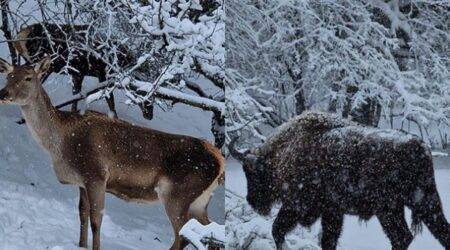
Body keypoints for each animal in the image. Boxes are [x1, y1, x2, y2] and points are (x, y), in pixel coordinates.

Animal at [0, 56, 224, 250]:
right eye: (8, 76)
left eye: (28, 78)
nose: (4, 93)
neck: (59, 144)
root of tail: (219, 160)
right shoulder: (82, 181)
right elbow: (82, 214)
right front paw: (81, 245)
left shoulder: (96, 174)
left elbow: (96, 220)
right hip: (199, 201)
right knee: (209, 232)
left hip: (177, 194)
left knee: (183, 235)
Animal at [230, 112, 450, 250]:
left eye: (251, 172)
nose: (252, 200)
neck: (283, 152)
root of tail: (418, 145)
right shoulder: (332, 211)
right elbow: (328, 240)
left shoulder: (296, 206)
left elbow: (277, 229)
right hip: (423, 202)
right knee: (434, 233)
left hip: (389, 210)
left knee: (402, 237)